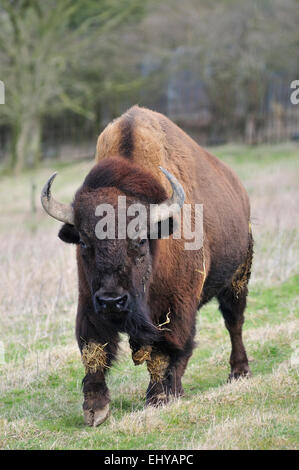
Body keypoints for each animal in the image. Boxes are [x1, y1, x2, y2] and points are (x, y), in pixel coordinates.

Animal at [41, 105, 254, 426]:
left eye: (140, 240)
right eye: (84, 243)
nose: (112, 301)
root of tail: (239, 190)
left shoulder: (172, 308)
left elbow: (162, 353)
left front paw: (157, 399)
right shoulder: (88, 303)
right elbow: (94, 349)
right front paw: (95, 409)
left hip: (237, 279)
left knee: (233, 323)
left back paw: (238, 372)